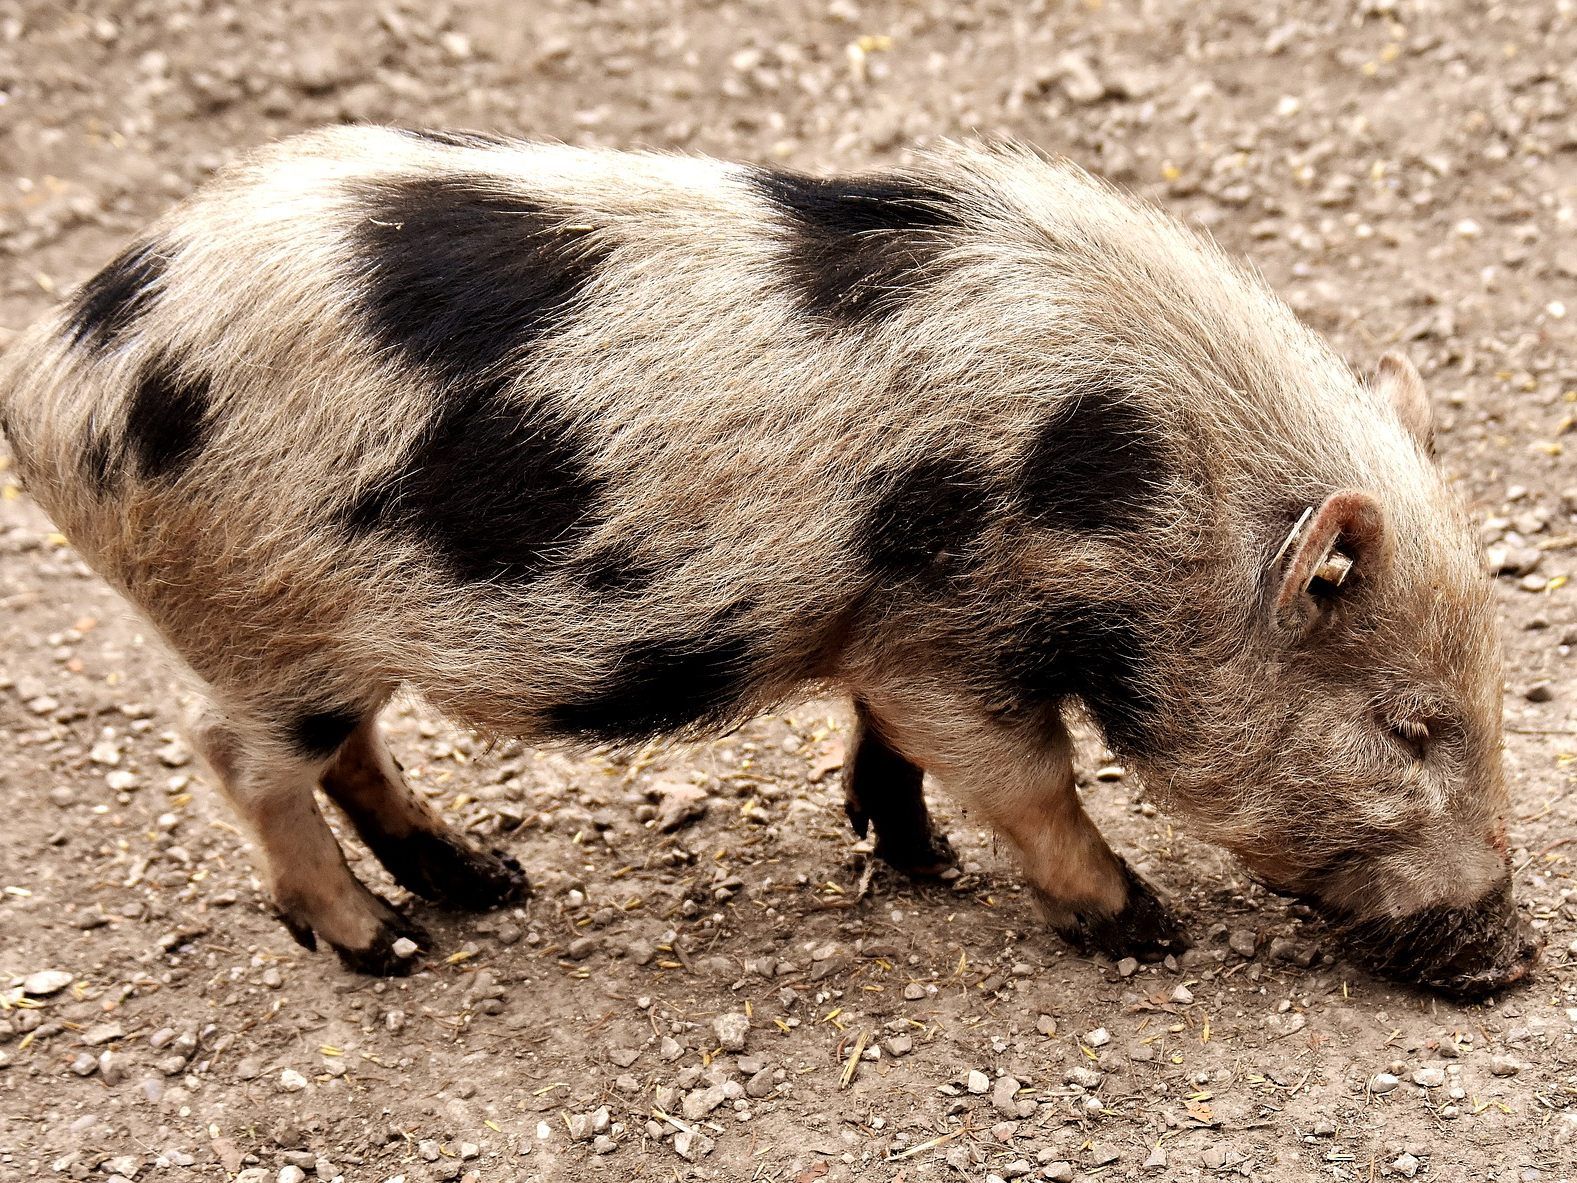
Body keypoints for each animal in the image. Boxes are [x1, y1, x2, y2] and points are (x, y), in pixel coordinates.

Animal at [0, 125, 1532, 996]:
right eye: (1407, 723)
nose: (1515, 964)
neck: (1134, 490)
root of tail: (56, 368)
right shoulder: (955, 633)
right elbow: (1024, 775)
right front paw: (1145, 928)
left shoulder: (897, 633)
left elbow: (890, 741)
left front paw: (915, 860)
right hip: (263, 624)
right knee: (240, 756)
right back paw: (387, 949)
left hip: (329, 633)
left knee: (353, 751)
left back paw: (489, 881)